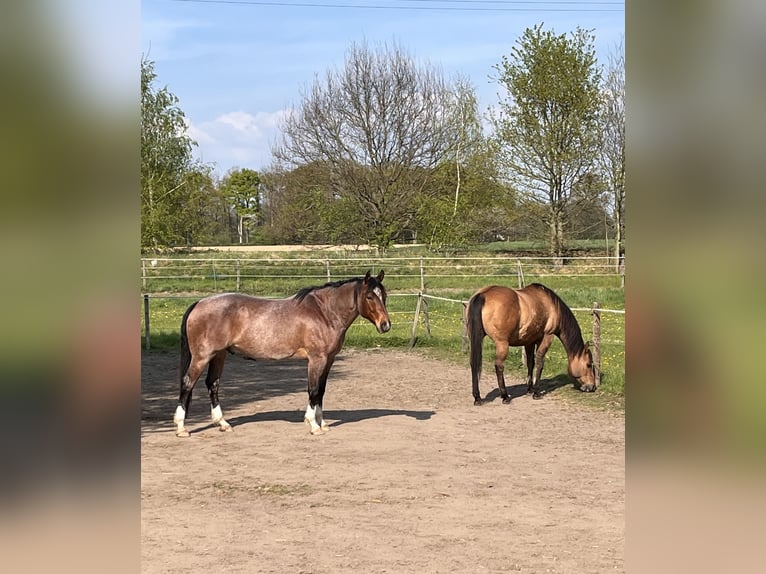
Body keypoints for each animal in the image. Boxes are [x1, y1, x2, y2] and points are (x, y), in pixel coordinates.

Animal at [173, 270, 391, 437]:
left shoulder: (329, 360)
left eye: (384, 295)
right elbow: (313, 390)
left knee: (213, 384)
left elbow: (321, 390)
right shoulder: (316, 359)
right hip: (202, 357)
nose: (385, 325)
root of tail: (199, 303)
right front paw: (313, 425)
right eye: (370, 297)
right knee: (188, 383)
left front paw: (322, 423)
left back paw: (223, 424)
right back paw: (181, 428)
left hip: (219, 355)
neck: (324, 312)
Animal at [466, 283, 598, 405]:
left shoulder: (529, 341)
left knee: (474, 364)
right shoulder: (546, 338)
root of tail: (482, 295)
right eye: (588, 364)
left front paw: (530, 389)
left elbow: (530, 363)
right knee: (499, 366)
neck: (551, 305)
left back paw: (477, 397)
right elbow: (540, 363)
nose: (592, 387)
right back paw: (505, 396)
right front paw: (536, 392)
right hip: (502, 344)